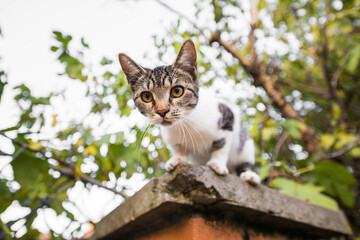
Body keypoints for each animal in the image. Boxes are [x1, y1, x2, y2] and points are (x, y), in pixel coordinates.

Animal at [119, 39, 260, 186]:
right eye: (146, 96)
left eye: (177, 91)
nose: (162, 111)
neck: (185, 124)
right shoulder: (171, 138)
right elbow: (178, 148)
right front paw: (178, 159)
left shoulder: (227, 116)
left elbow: (222, 146)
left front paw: (217, 164)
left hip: (246, 146)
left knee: (245, 162)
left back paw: (249, 175)